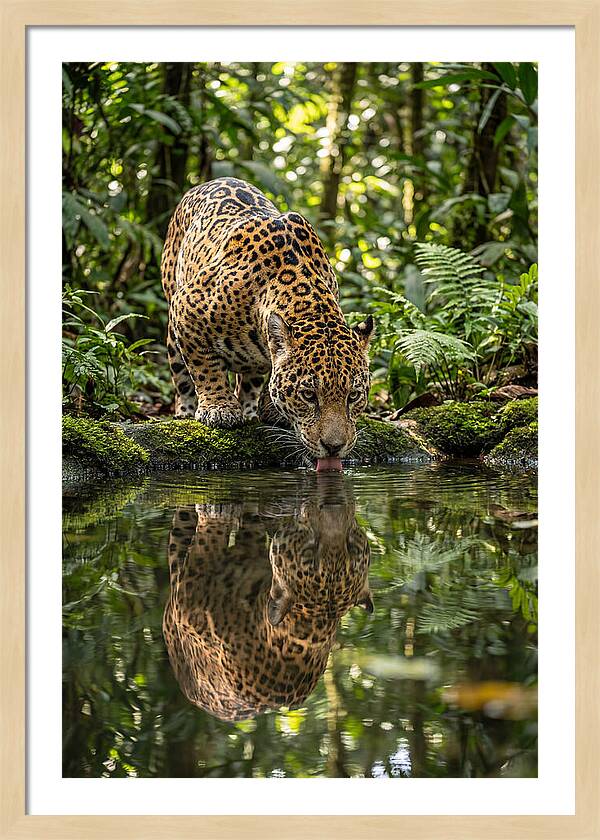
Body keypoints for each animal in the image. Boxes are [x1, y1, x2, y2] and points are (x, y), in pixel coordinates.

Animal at [161, 177, 374, 462]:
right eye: (309, 395)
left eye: (354, 396)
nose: (333, 447)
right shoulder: (186, 307)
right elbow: (205, 367)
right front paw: (220, 408)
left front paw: (272, 410)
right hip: (172, 321)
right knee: (182, 377)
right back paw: (185, 412)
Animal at [162, 481, 372, 721]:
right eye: (310, 551)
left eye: (351, 547)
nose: (333, 504)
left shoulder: (189, 599)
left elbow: (209, 539)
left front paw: (217, 510)